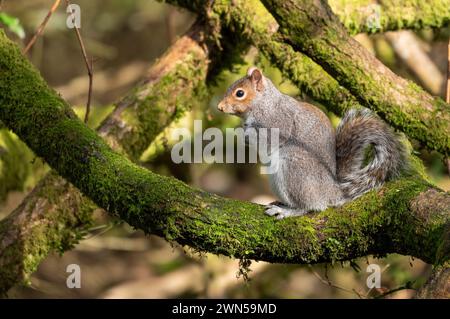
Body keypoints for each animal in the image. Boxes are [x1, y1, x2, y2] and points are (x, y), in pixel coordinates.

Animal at [218, 67, 408, 220]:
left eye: (240, 93)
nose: (220, 107)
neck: (264, 102)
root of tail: (333, 191)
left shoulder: (278, 122)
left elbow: (268, 140)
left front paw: (243, 132)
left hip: (295, 167)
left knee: (310, 206)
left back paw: (288, 211)